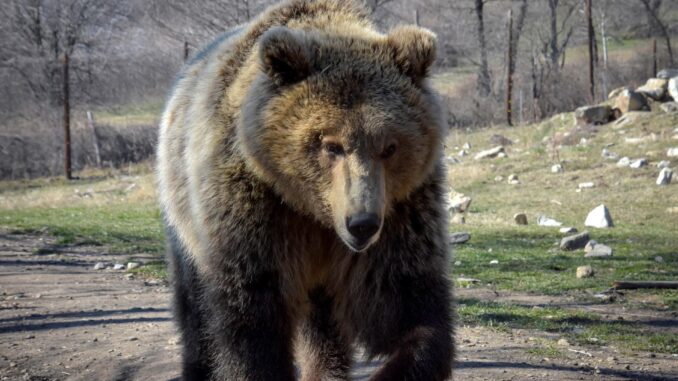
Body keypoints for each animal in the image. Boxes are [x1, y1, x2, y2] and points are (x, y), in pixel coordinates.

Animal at [157, 1, 454, 378]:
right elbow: (251, 317)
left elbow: (408, 307)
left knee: (323, 321)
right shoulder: (256, 209)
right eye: (331, 145)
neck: (313, 209)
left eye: (390, 146)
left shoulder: (401, 212)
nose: (362, 224)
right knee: (193, 302)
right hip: (182, 206)